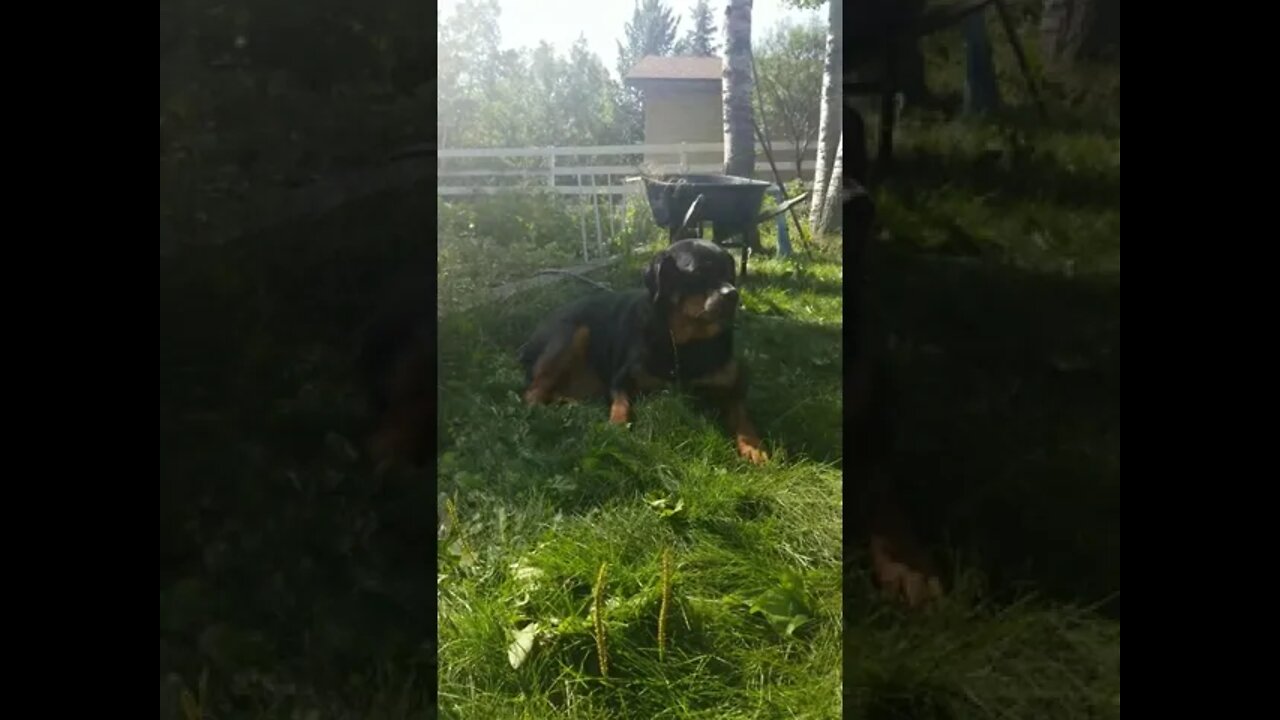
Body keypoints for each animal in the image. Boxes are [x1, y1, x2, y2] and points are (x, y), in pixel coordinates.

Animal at [519, 235, 768, 461]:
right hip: (574, 333)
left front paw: (753, 447)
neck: (685, 343)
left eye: (729, 274)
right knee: (532, 393)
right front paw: (617, 428)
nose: (733, 294)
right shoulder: (621, 379)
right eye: (698, 274)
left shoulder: (731, 389)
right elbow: (622, 404)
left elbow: (743, 417)